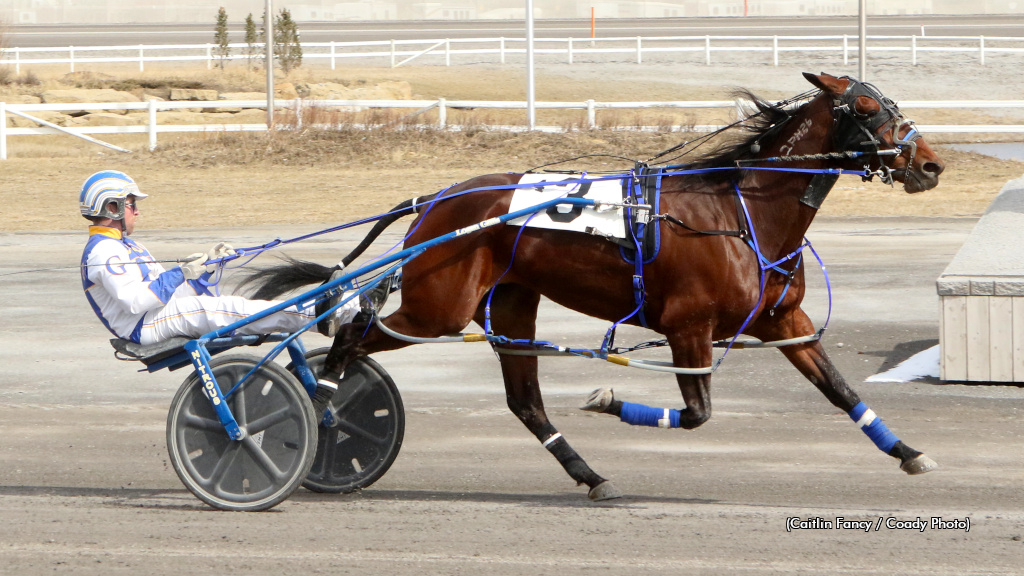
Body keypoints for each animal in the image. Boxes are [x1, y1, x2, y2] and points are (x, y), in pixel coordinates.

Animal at [247, 72, 942, 498]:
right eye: (871, 109)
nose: (930, 164)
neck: (741, 212)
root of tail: (439, 198)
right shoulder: (688, 326)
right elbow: (697, 414)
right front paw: (608, 398)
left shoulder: (783, 321)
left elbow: (841, 390)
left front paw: (909, 452)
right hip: (437, 306)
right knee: (351, 331)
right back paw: (323, 405)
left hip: (510, 304)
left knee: (524, 401)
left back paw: (590, 475)